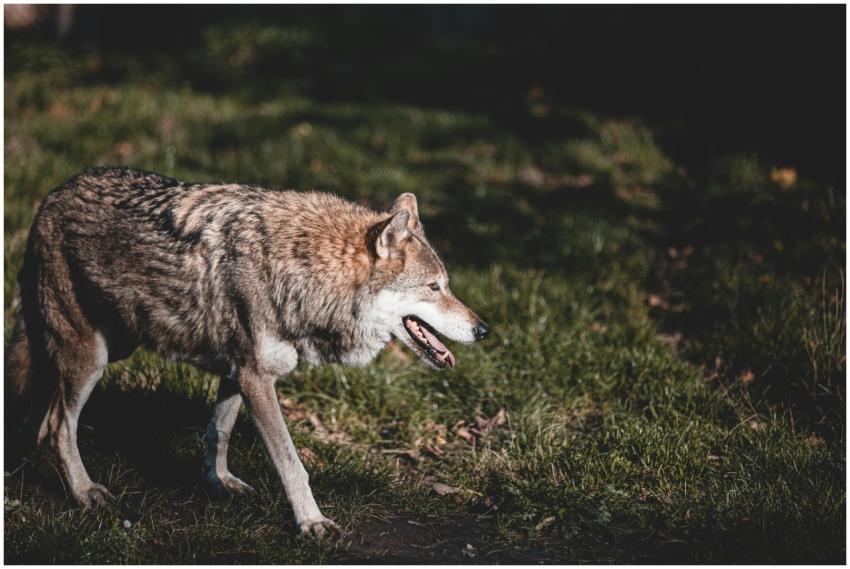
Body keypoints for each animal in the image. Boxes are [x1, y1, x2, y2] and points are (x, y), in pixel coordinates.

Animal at [5, 167, 490, 537]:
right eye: (435, 288)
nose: (483, 329)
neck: (304, 272)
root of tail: (51, 195)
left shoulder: (237, 372)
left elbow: (217, 433)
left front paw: (218, 483)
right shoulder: (258, 379)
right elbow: (292, 463)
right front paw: (311, 523)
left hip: (107, 348)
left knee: (40, 413)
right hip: (91, 357)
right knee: (58, 426)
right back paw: (83, 492)